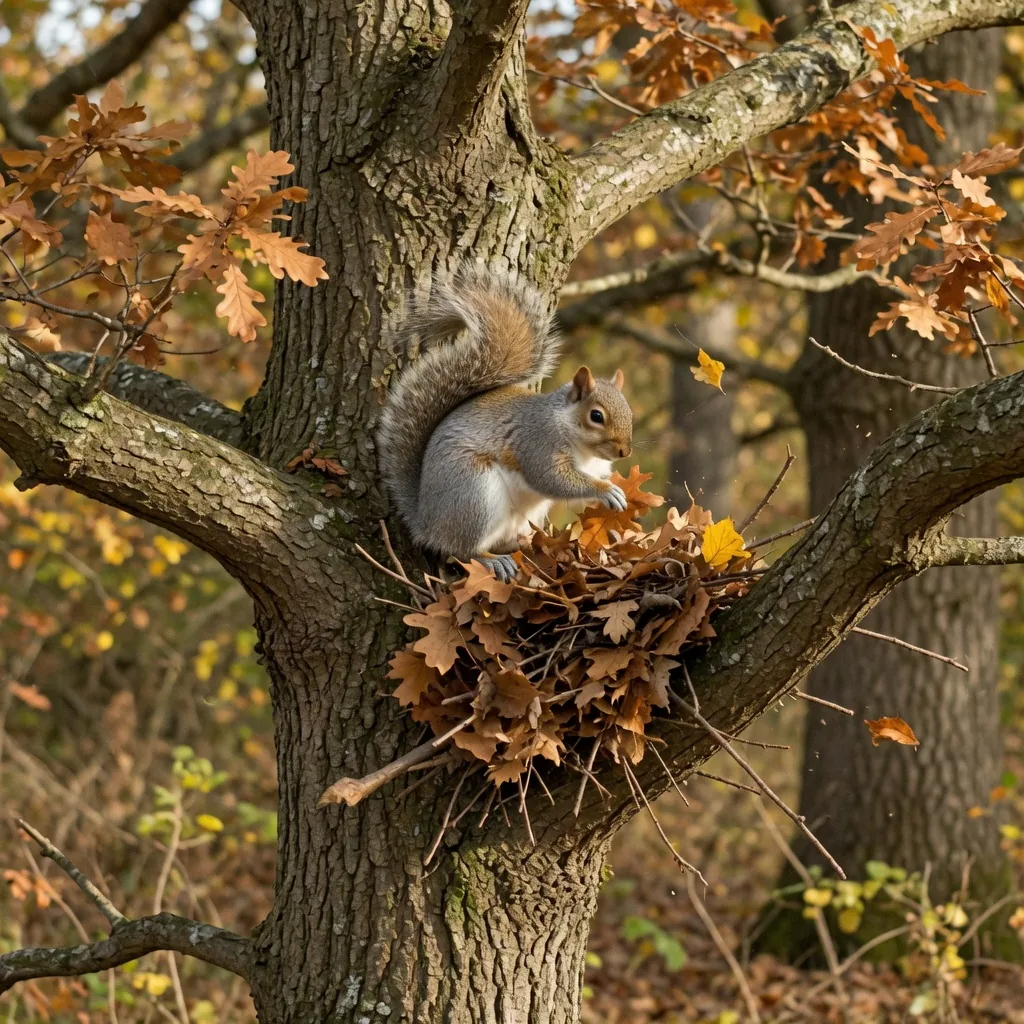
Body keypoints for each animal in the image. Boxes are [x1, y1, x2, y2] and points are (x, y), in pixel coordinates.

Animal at [377, 264, 633, 581]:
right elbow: (553, 479)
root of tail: (426, 522)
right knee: (459, 550)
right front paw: (605, 491)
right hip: (474, 495)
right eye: (596, 416)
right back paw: (492, 560)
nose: (625, 451)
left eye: (629, 412)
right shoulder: (538, 443)